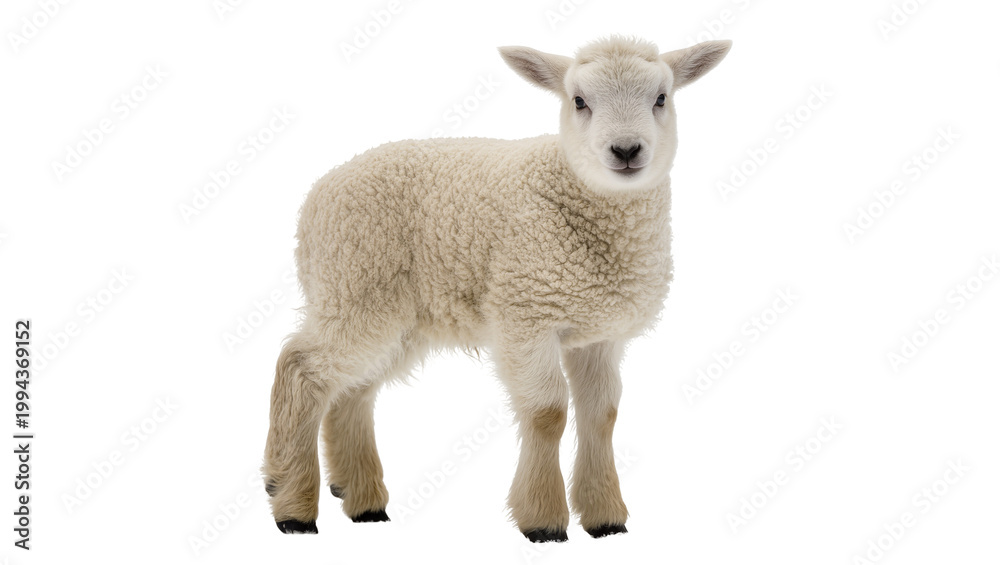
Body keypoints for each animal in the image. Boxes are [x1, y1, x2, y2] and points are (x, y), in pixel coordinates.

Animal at [263, 35, 732, 542]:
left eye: (661, 98)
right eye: (579, 101)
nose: (626, 149)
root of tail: (315, 199)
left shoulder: (599, 334)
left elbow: (601, 415)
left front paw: (605, 516)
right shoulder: (525, 312)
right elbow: (548, 413)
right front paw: (543, 520)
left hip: (395, 314)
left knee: (354, 390)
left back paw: (363, 500)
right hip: (354, 287)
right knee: (301, 368)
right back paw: (291, 503)